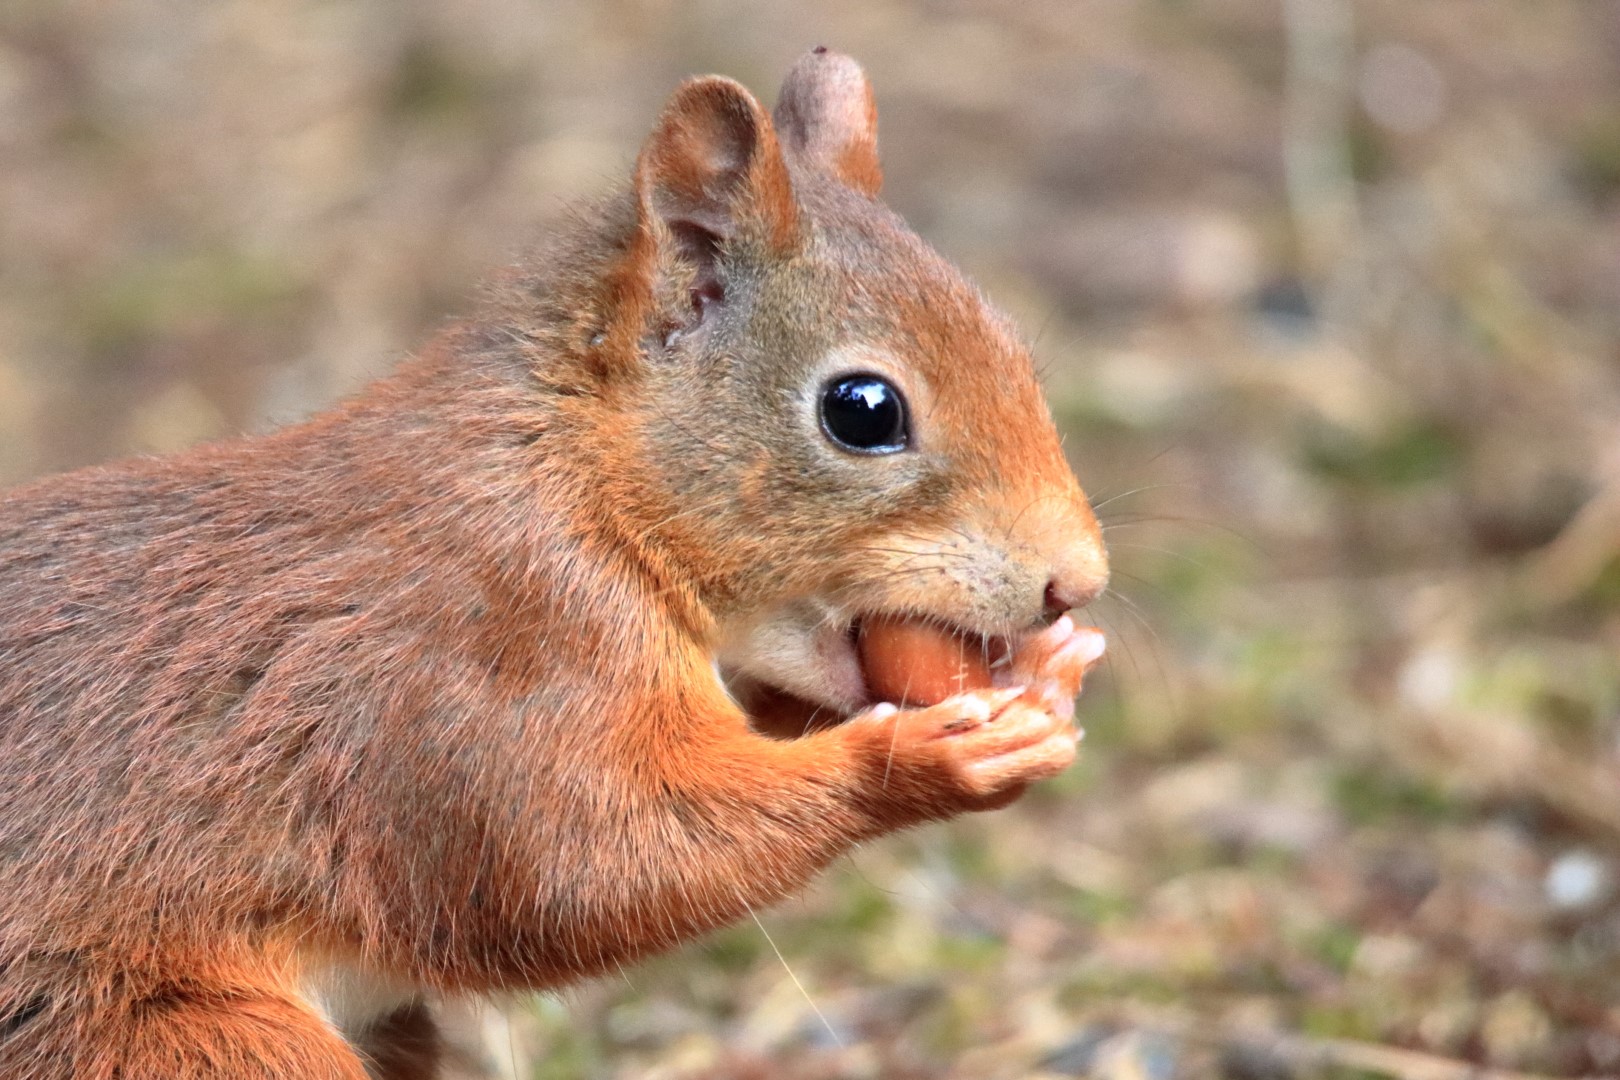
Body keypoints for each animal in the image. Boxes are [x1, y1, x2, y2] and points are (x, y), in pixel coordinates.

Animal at [0, 46, 1108, 1075]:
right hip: (175, 1037)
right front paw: (921, 760)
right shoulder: (483, 656)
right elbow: (579, 865)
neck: (584, 486)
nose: (1078, 582)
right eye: (863, 411)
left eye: (1017, 350)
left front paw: (1044, 679)